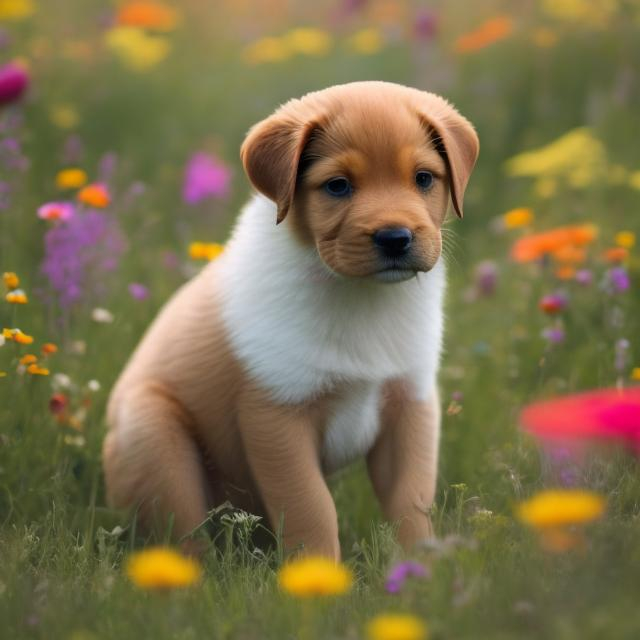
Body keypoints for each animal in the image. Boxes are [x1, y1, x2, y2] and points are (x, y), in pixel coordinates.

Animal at [102, 81, 478, 560]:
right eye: (337, 186)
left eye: (424, 178)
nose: (395, 238)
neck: (361, 296)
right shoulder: (277, 413)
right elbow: (311, 509)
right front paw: (317, 575)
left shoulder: (410, 403)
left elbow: (410, 503)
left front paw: (420, 567)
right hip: (152, 432)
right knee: (184, 534)